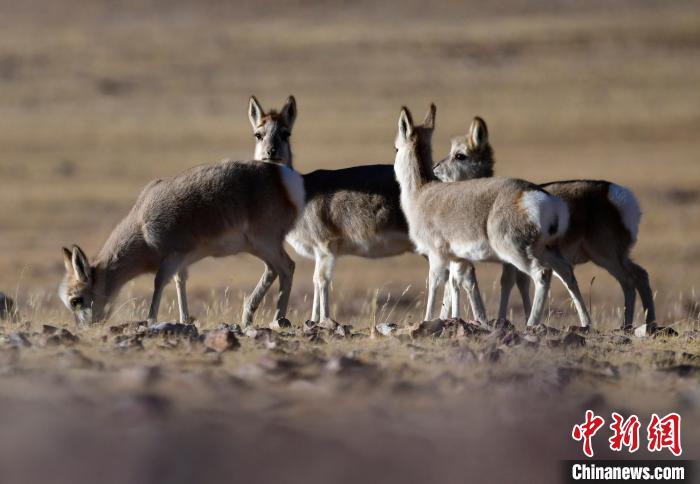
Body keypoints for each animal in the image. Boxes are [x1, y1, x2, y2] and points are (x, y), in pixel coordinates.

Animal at [59, 159, 304, 326]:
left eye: (76, 299)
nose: (84, 329)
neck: (141, 222)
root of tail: (283, 177)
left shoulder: (172, 257)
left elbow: (159, 283)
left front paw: (150, 321)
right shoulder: (182, 263)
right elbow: (180, 283)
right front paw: (185, 319)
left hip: (264, 243)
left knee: (287, 266)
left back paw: (278, 318)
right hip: (257, 248)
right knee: (274, 269)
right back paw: (249, 317)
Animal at [248, 96, 414, 322]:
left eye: (285, 133)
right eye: (258, 134)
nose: (270, 152)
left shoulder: (325, 247)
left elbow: (322, 281)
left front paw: (324, 321)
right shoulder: (319, 252)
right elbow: (316, 282)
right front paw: (314, 319)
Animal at [394, 104, 592, 327]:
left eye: (396, 148)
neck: (422, 191)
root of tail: (538, 196)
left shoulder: (437, 257)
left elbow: (435, 285)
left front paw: (428, 320)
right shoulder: (459, 259)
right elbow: (458, 284)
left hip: (516, 252)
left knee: (542, 274)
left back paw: (531, 323)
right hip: (545, 250)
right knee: (566, 271)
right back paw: (586, 323)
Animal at [434, 116, 655, 328]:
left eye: (460, 155)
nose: (435, 168)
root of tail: (617, 194)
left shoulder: (510, 260)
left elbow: (508, 283)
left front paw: (504, 320)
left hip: (604, 255)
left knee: (628, 281)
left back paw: (627, 324)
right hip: (614, 255)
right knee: (641, 275)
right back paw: (646, 322)